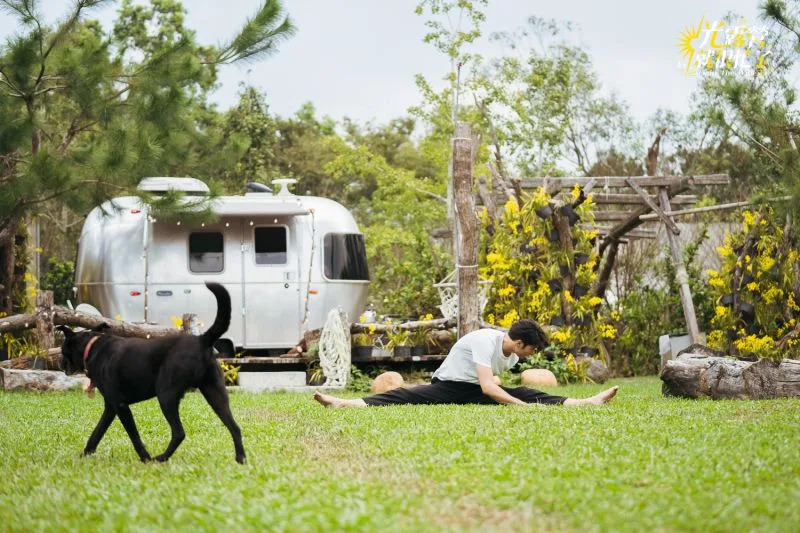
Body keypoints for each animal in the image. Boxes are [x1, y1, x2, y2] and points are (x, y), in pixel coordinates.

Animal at [56, 282, 245, 462]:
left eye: (62, 349)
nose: (59, 363)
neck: (92, 346)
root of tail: (202, 340)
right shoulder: (110, 407)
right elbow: (97, 432)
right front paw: (85, 454)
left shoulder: (120, 405)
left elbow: (134, 437)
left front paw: (145, 458)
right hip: (215, 393)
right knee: (235, 427)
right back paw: (240, 459)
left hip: (166, 395)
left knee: (179, 433)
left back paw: (160, 458)